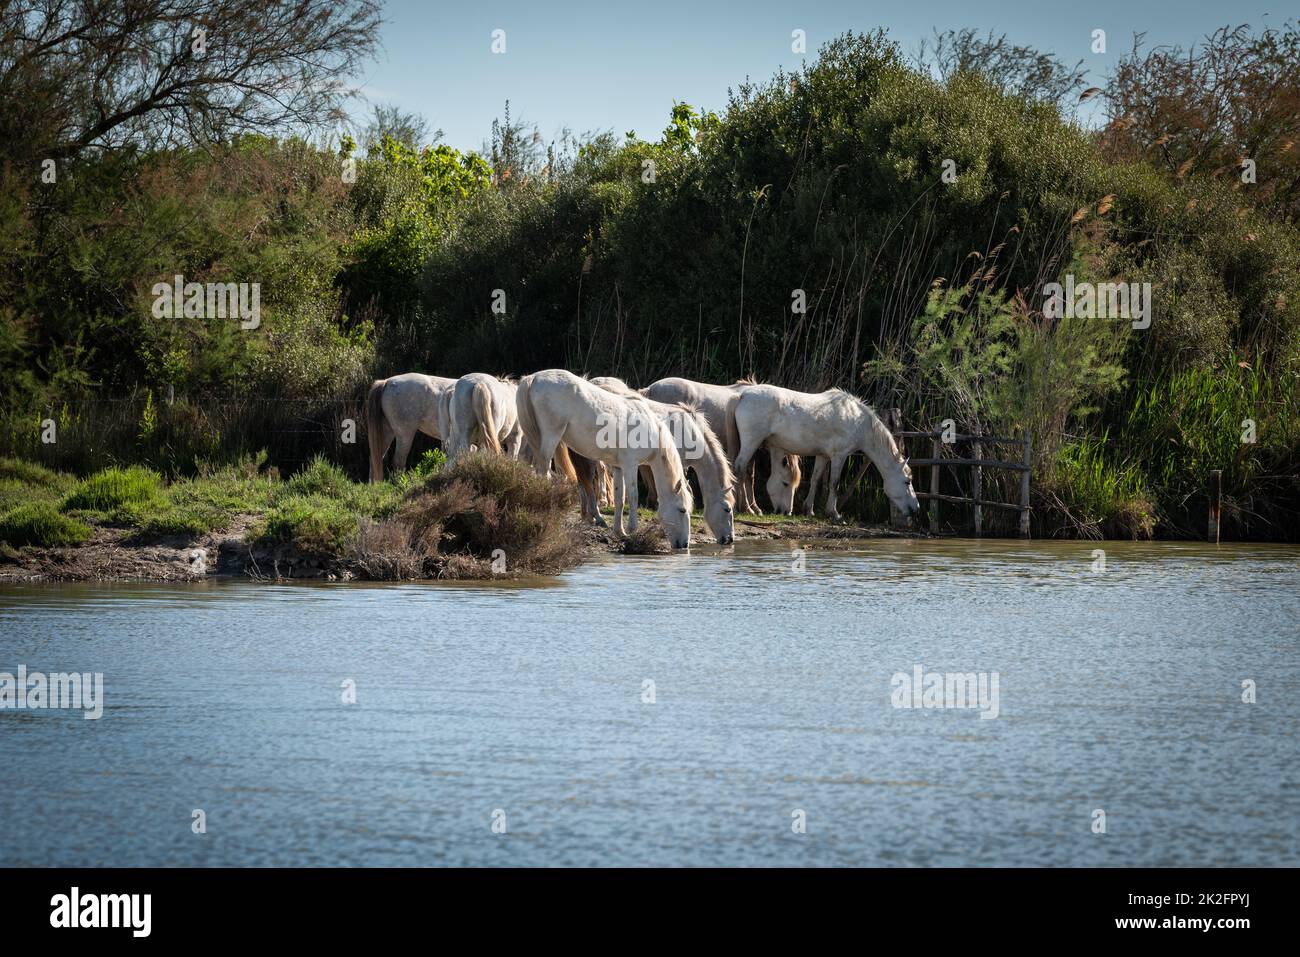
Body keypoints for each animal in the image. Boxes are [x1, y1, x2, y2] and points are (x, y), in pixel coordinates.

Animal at [514, 369, 696, 548]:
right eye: (682, 510)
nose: (684, 544)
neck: (652, 431)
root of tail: (534, 378)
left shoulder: (618, 467)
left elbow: (620, 497)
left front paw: (620, 531)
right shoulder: (630, 465)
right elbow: (633, 495)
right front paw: (632, 529)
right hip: (549, 440)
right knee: (544, 475)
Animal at [642, 374, 800, 514]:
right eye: (786, 483)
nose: (787, 512)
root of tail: (651, 388)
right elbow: (748, 475)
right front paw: (751, 508)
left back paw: (654, 501)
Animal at [733, 384, 925, 522]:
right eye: (907, 482)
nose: (916, 509)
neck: (858, 421)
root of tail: (743, 395)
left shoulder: (823, 456)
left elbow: (816, 480)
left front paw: (809, 510)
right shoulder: (839, 456)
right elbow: (834, 483)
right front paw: (834, 514)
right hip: (751, 442)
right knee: (739, 468)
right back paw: (743, 508)